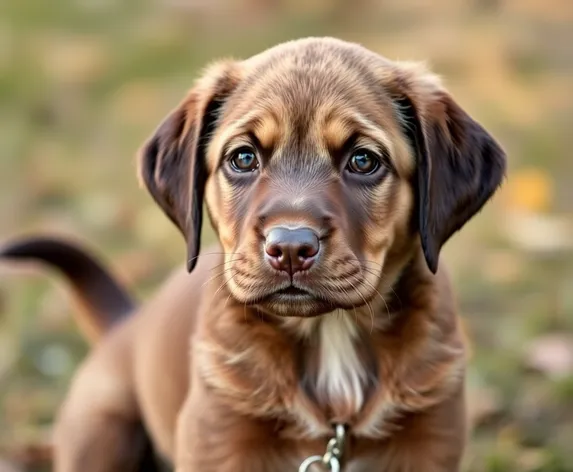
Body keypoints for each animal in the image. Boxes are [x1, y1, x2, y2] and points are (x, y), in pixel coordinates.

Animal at [1, 37, 504, 472]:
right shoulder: (220, 440)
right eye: (243, 158)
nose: (290, 248)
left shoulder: (428, 441)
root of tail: (127, 324)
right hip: (101, 429)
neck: (330, 339)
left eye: (363, 161)